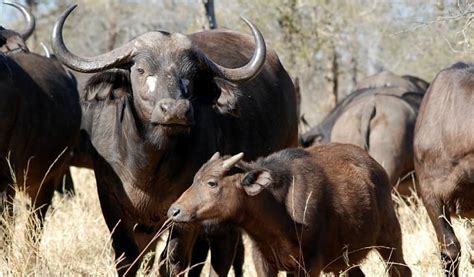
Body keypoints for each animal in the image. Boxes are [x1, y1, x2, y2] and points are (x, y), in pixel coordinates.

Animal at [51, 4, 296, 276]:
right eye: (141, 70)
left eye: (190, 74)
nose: (176, 110)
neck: (147, 163)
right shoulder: (112, 204)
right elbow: (128, 259)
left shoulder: (185, 209)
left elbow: (171, 261)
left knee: (222, 252)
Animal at [169, 143, 412, 274]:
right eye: (195, 179)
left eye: (212, 183)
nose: (174, 211)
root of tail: (376, 168)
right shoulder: (264, 262)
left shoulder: (310, 265)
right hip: (343, 260)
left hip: (389, 238)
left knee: (402, 270)